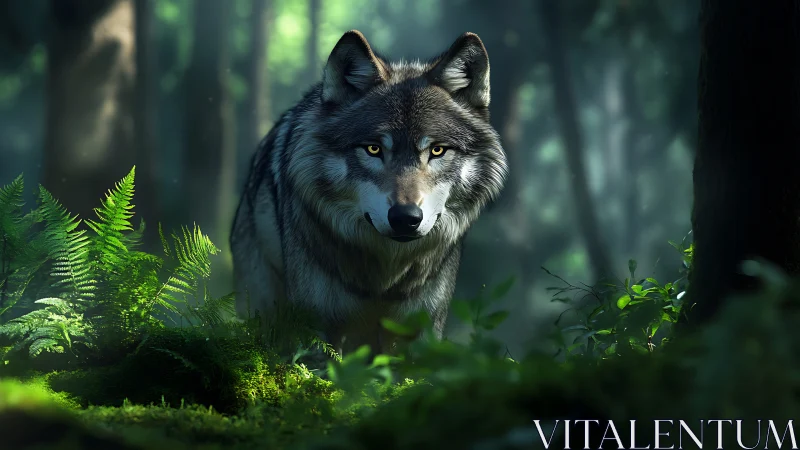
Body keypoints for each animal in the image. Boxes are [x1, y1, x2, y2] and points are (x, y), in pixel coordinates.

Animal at [230, 30, 508, 356]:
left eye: (437, 150)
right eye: (374, 149)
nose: (405, 217)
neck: (384, 278)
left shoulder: (422, 329)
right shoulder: (315, 328)